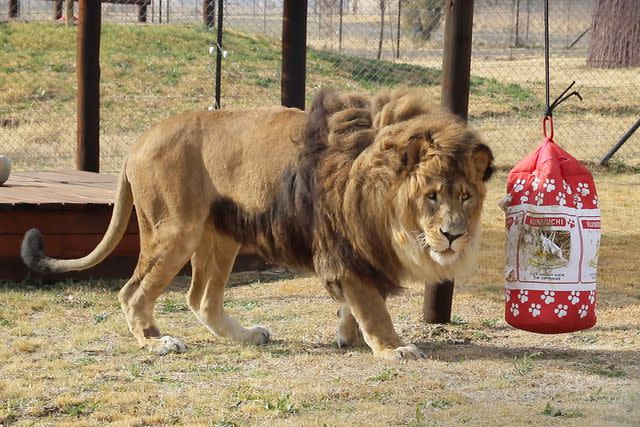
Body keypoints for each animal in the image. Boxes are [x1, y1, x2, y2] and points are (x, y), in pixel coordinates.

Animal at [20, 88, 492, 362]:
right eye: (431, 196)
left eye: (465, 197)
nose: (454, 235)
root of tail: (140, 139)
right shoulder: (344, 245)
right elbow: (373, 306)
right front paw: (393, 348)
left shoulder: (351, 250)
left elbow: (355, 302)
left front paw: (348, 336)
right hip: (174, 231)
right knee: (132, 292)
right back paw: (157, 342)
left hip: (220, 236)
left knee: (200, 299)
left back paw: (247, 336)